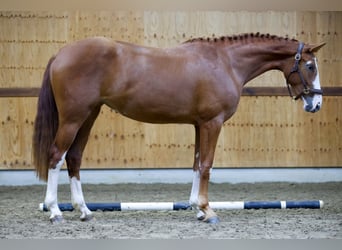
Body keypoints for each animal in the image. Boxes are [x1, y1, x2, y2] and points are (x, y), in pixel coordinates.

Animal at [33, 32, 324, 223]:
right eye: (310, 66)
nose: (316, 103)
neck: (225, 62)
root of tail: (61, 53)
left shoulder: (199, 124)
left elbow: (196, 164)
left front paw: (197, 208)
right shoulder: (212, 123)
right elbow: (207, 164)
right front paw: (208, 210)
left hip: (88, 116)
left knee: (74, 157)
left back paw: (83, 210)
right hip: (73, 118)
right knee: (56, 156)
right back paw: (55, 211)